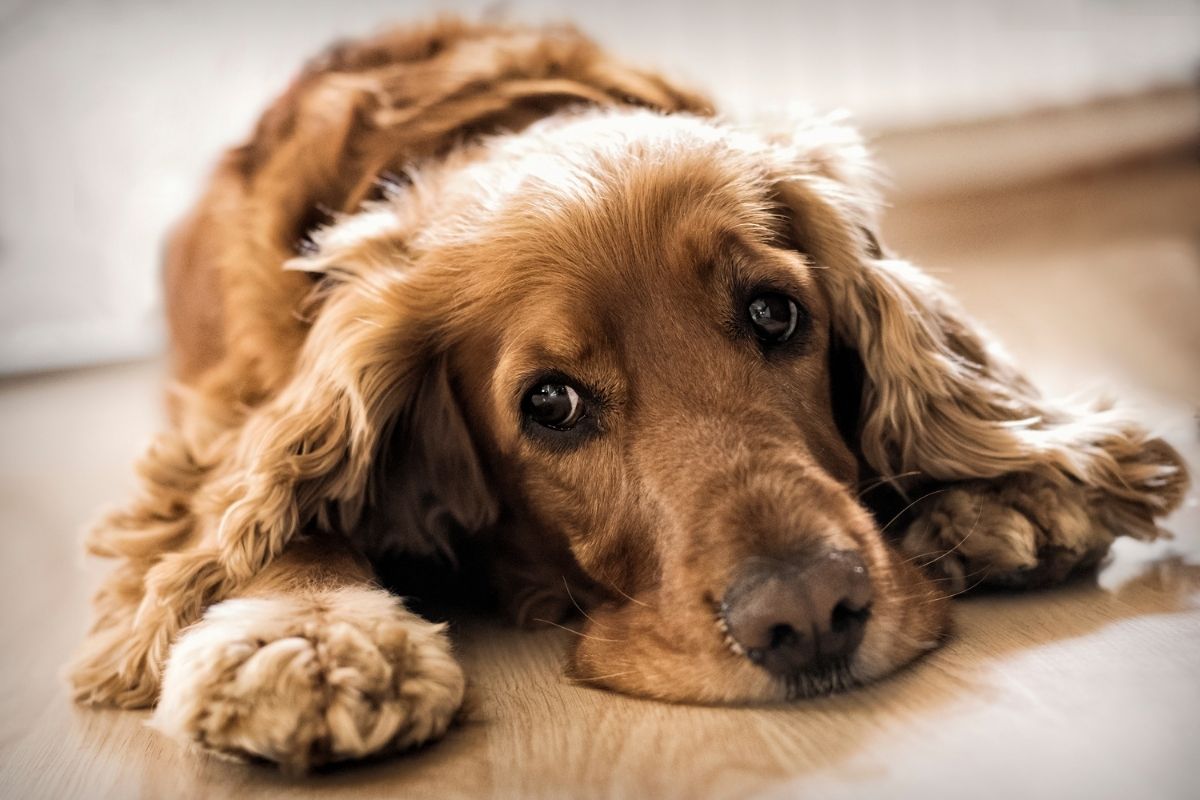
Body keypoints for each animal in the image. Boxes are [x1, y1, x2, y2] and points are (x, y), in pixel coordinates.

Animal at [72, 18, 1190, 767]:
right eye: (550, 404)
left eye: (775, 313)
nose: (810, 614)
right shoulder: (213, 425)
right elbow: (256, 514)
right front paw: (306, 635)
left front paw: (1006, 491)